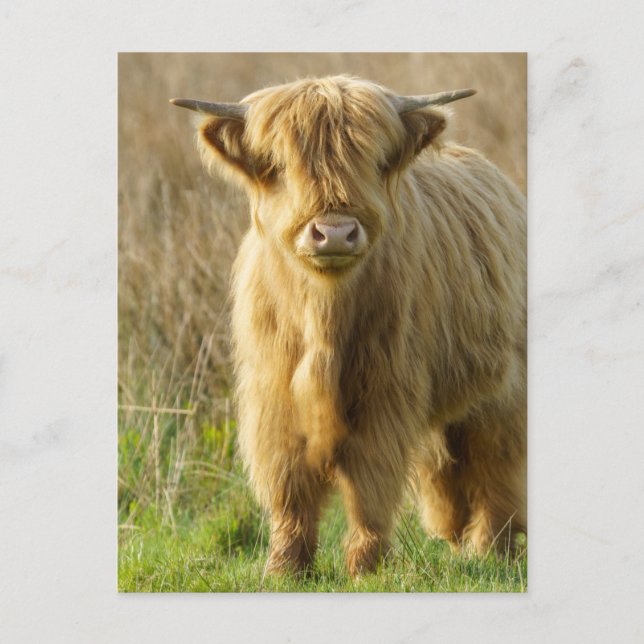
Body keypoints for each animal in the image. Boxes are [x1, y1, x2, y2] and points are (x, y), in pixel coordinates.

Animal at [171, 75, 526, 577]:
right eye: (278, 164)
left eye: (375, 160)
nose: (335, 232)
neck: (323, 317)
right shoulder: (273, 397)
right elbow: (289, 484)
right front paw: (284, 568)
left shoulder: (385, 394)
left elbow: (369, 484)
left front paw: (365, 565)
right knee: (447, 474)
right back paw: (461, 543)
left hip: (504, 392)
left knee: (496, 466)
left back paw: (493, 549)